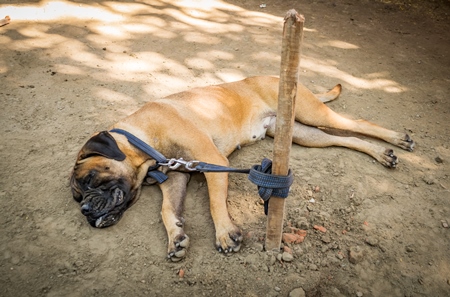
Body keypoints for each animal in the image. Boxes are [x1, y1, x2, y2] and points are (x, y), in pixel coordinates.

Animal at [71, 75, 414, 260]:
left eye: (91, 178)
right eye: (76, 196)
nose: (85, 209)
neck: (143, 141)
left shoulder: (212, 162)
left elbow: (213, 202)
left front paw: (225, 234)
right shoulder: (177, 178)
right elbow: (168, 210)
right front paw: (176, 237)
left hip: (313, 113)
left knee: (358, 123)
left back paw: (397, 138)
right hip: (302, 134)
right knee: (345, 139)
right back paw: (383, 154)